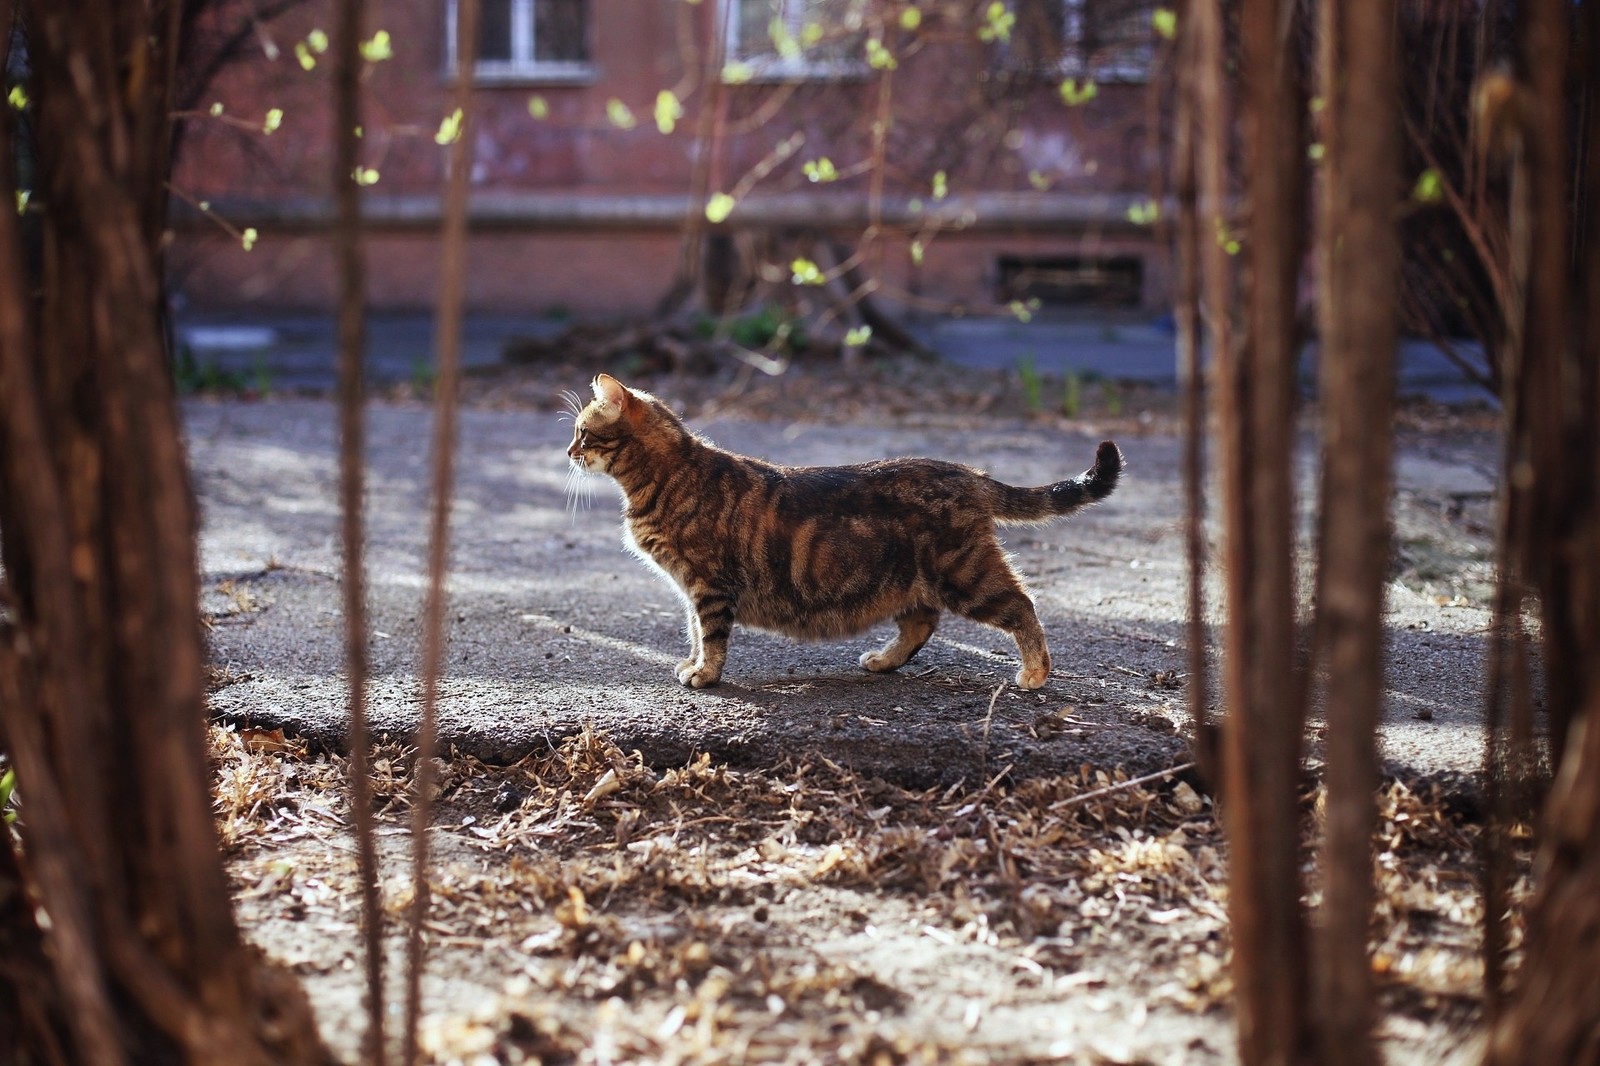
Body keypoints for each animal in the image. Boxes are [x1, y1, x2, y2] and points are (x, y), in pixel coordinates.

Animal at [569, 372, 1120, 688]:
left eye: (582, 432)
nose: (569, 452)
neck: (664, 477)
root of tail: (970, 472)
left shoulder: (708, 583)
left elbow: (712, 636)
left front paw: (705, 675)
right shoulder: (690, 587)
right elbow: (693, 632)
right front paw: (692, 663)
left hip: (964, 574)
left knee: (1022, 606)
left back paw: (1035, 673)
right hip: (910, 581)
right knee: (922, 623)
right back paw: (884, 661)